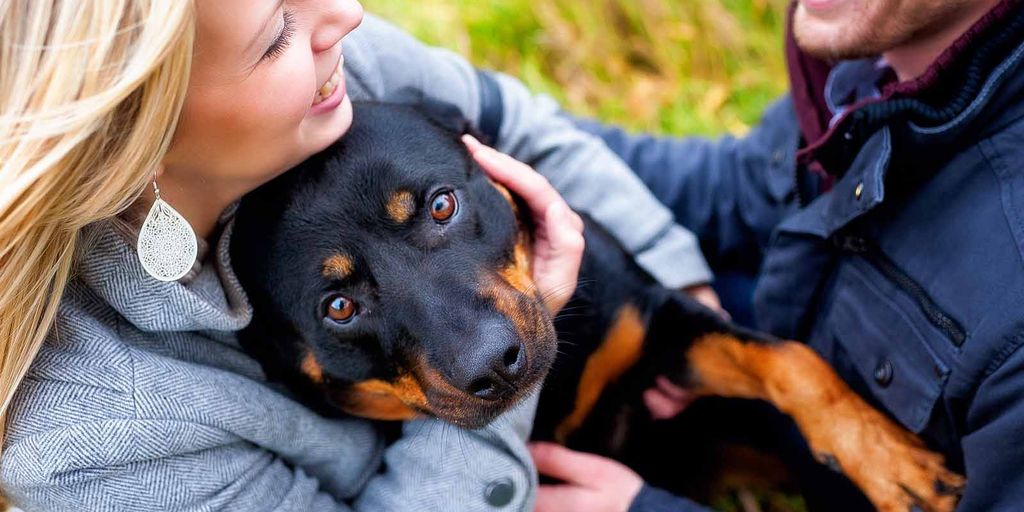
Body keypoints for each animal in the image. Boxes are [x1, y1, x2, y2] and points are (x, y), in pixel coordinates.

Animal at [230, 101, 958, 509]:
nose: (494, 366)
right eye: (339, 308)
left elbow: (794, 361)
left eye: (442, 205)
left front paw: (891, 463)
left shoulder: (658, 326)